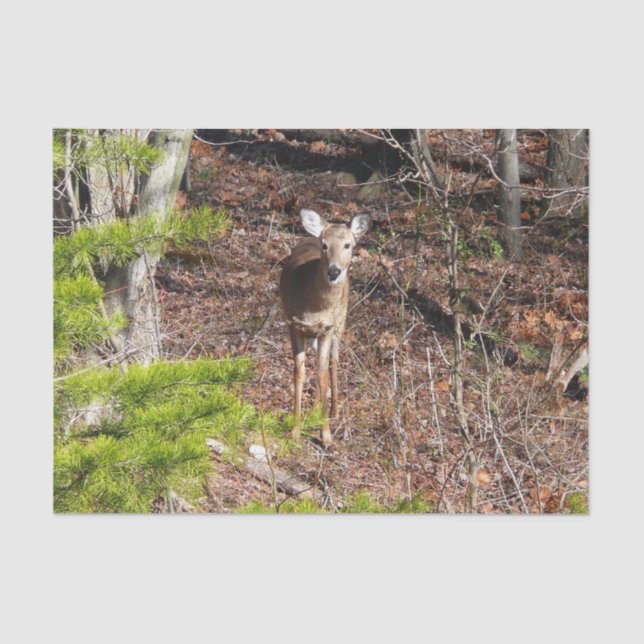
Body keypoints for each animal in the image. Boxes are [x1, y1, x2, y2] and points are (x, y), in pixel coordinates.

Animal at [280, 208, 370, 447]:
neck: (316, 307)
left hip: (341, 322)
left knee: (333, 362)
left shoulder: (327, 329)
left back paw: (334, 411)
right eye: (325, 245)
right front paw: (294, 430)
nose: (334, 271)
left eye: (348, 245)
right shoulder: (294, 324)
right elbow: (299, 373)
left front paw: (326, 437)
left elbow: (321, 375)